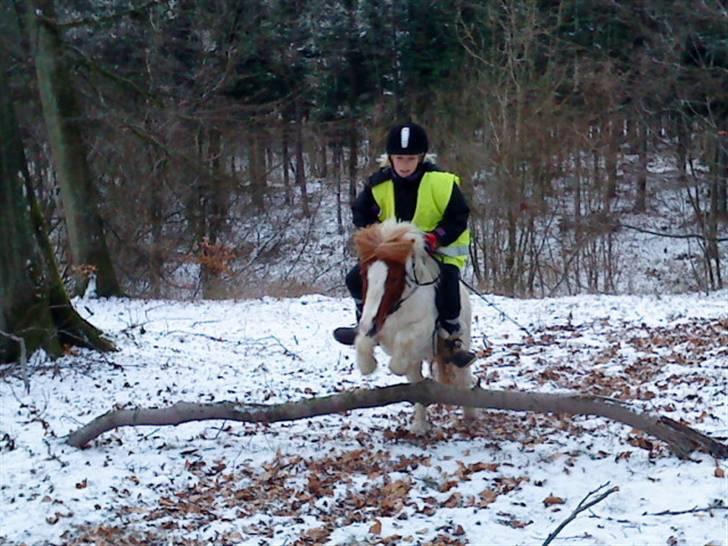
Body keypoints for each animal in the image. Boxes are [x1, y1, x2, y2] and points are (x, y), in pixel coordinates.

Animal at [352, 217, 478, 434]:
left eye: (394, 278)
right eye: (363, 275)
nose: (368, 323)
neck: (398, 305)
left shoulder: (423, 329)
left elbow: (401, 350)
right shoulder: (378, 330)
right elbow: (364, 344)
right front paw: (369, 364)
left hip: (461, 342)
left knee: (462, 375)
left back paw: (470, 415)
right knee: (417, 383)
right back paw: (419, 426)